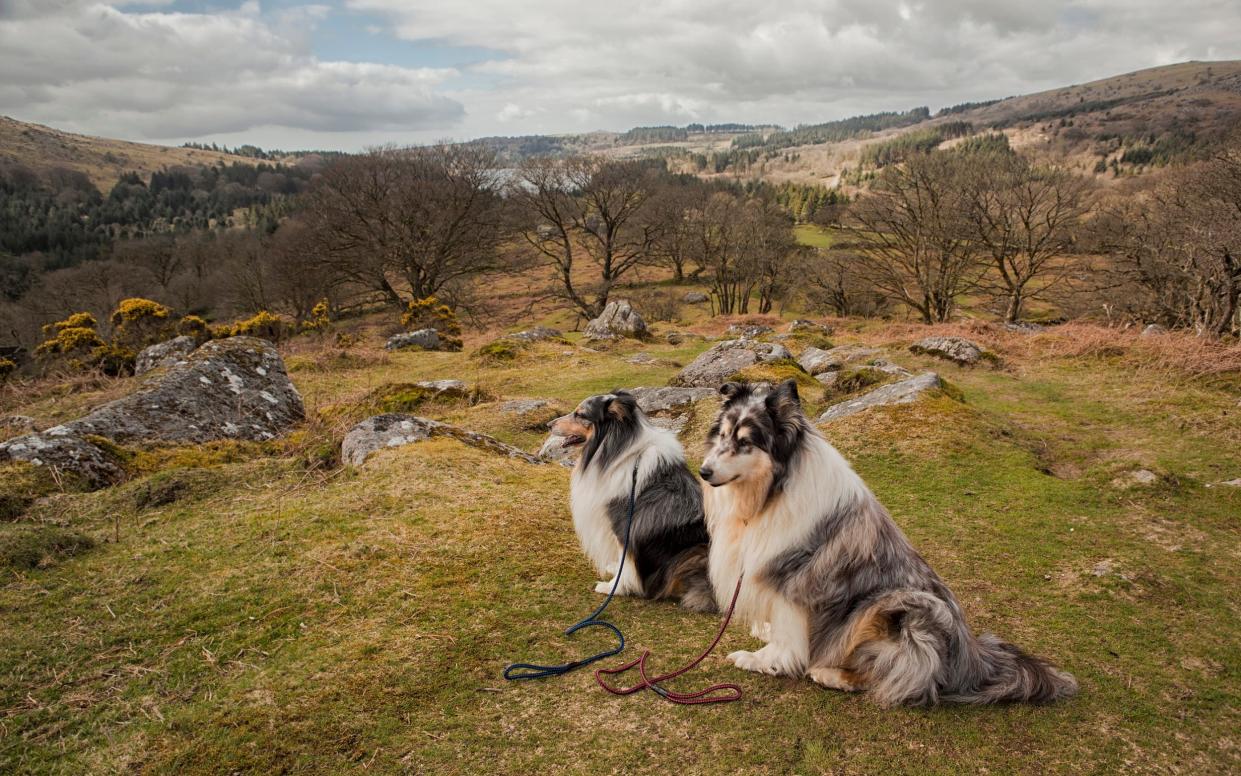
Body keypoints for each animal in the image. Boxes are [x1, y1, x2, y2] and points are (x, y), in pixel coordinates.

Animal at [553, 387, 719, 610]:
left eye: (580, 414)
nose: (549, 424)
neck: (619, 454)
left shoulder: (624, 524)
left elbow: (626, 564)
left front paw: (613, 588)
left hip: (695, 553)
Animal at [699, 377, 1077, 705]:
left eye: (746, 442)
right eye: (722, 435)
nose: (703, 471)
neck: (769, 493)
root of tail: (973, 659)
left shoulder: (795, 579)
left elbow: (787, 637)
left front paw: (761, 660)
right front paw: (764, 631)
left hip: (903, 609)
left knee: (903, 677)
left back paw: (831, 674)